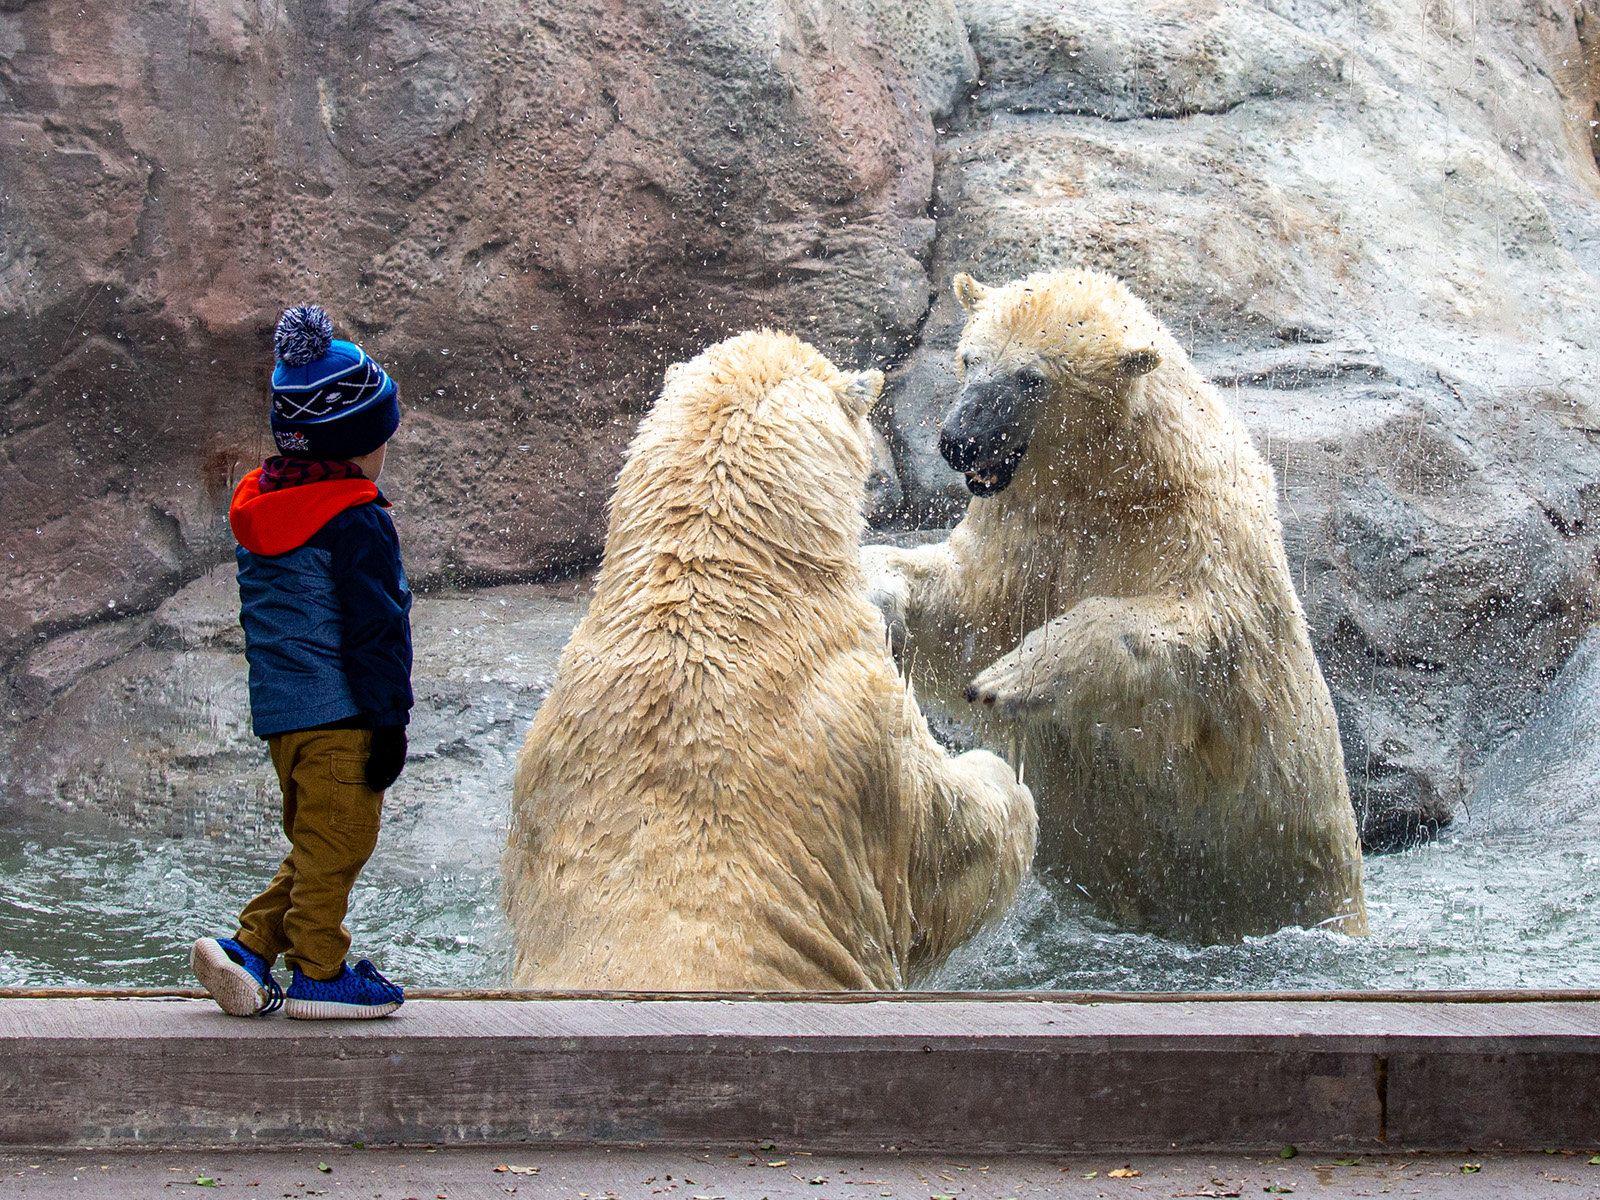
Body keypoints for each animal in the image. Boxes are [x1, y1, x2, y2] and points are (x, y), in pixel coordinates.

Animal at [863, 269, 1368, 943]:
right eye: (970, 359)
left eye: (1031, 378)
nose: (960, 442)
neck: (1118, 481)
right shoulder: (1029, 532)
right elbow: (963, 603)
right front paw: (869, 589)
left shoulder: (1199, 528)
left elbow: (1194, 637)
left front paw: (1013, 676)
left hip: (1294, 872)